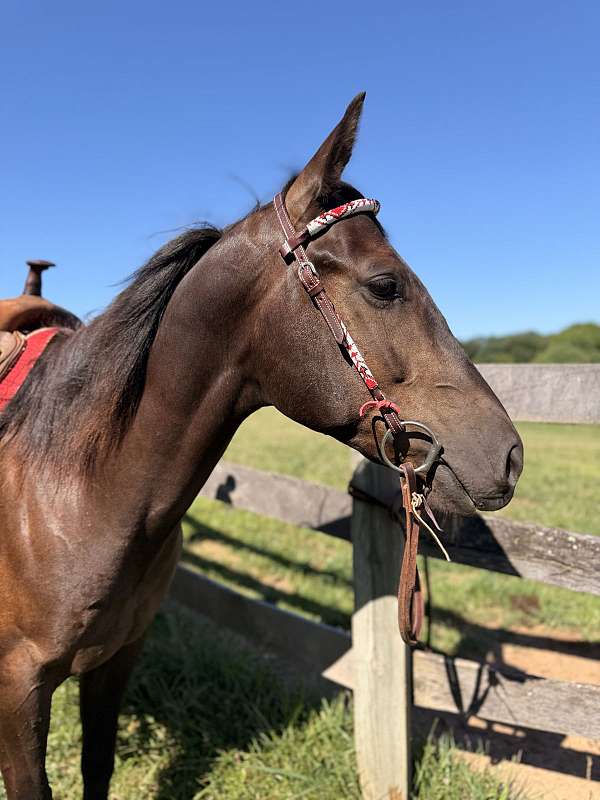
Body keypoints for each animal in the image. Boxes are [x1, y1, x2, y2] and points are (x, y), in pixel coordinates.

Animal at [0, 93, 522, 799]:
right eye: (386, 285)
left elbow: (98, 768)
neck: (78, 496)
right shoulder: (18, 693)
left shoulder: (114, 663)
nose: (510, 455)